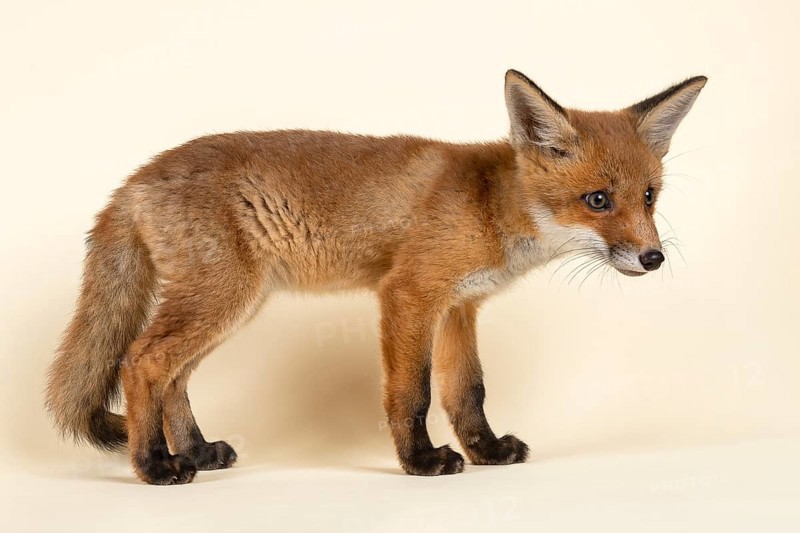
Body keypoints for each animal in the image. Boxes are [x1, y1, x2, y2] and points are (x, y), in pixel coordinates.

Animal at [45, 69, 707, 485]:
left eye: (649, 197)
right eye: (597, 200)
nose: (654, 258)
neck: (491, 208)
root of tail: (134, 179)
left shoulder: (460, 307)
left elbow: (467, 392)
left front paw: (486, 451)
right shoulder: (409, 294)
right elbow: (412, 395)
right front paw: (421, 462)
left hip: (233, 305)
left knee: (174, 376)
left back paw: (197, 451)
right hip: (220, 299)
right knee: (141, 362)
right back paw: (155, 465)